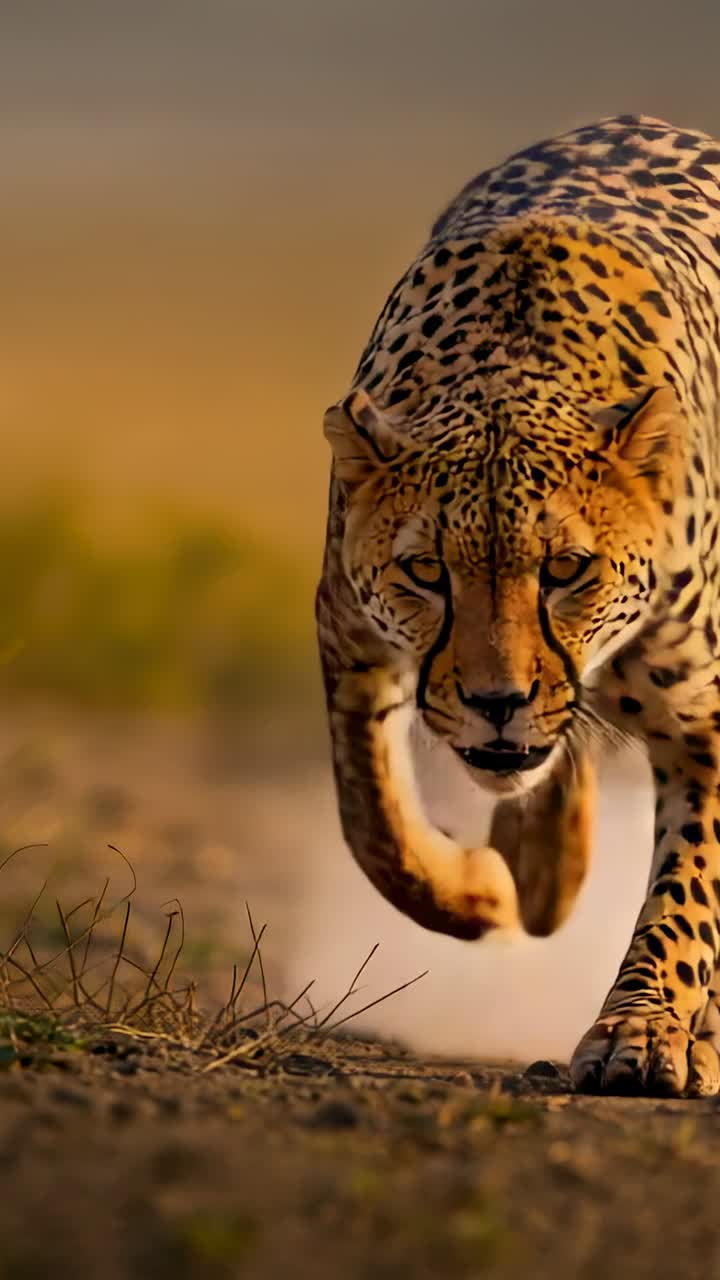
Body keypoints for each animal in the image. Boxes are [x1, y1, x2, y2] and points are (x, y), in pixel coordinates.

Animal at [316, 114, 720, 1097]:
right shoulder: (349, 639)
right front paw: (480, 893)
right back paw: (541, 875)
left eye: (567, 568)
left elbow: (687, 885)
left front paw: (643, 1030)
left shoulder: (703, 714)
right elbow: (372, 822)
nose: (497, 701)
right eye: (427, 572)